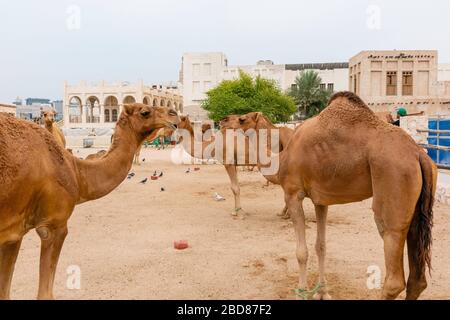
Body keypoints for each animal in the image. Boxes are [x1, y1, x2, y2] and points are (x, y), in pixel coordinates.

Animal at [0, 104, 179, 300]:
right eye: (145, 112)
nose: (174, 114)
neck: (76, 172)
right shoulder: (53, 225)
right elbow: (45, 294)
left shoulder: (14, 234)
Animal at [236, 92, 436, 300]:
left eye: (242, 119)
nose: (227, 122)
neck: (281, 159)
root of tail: (418, 154)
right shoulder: (321, 200)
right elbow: (321, 246)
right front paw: (322, 292)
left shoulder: (292, 193)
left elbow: (301, 252)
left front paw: (302, 292)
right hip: (416, 207)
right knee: (417, 278)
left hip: (394, 183)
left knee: (393, 272)